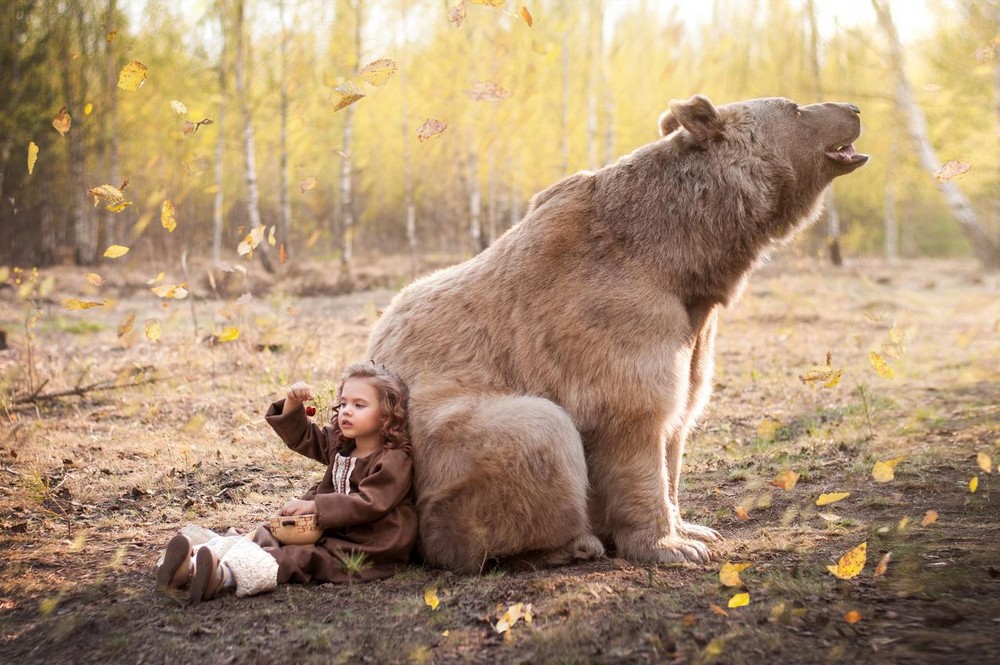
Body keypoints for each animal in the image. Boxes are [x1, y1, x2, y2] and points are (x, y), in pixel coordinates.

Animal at [368, 94, 868, 572]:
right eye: (796, 107)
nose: (853, 108)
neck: (685, 255)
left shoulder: (692, 330)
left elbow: (680, 418)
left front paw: (694, 528)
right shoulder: (610, 317)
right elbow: (637, 420)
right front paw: (671, 546)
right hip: (432, 438)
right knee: (537, 433)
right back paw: (570, 544)